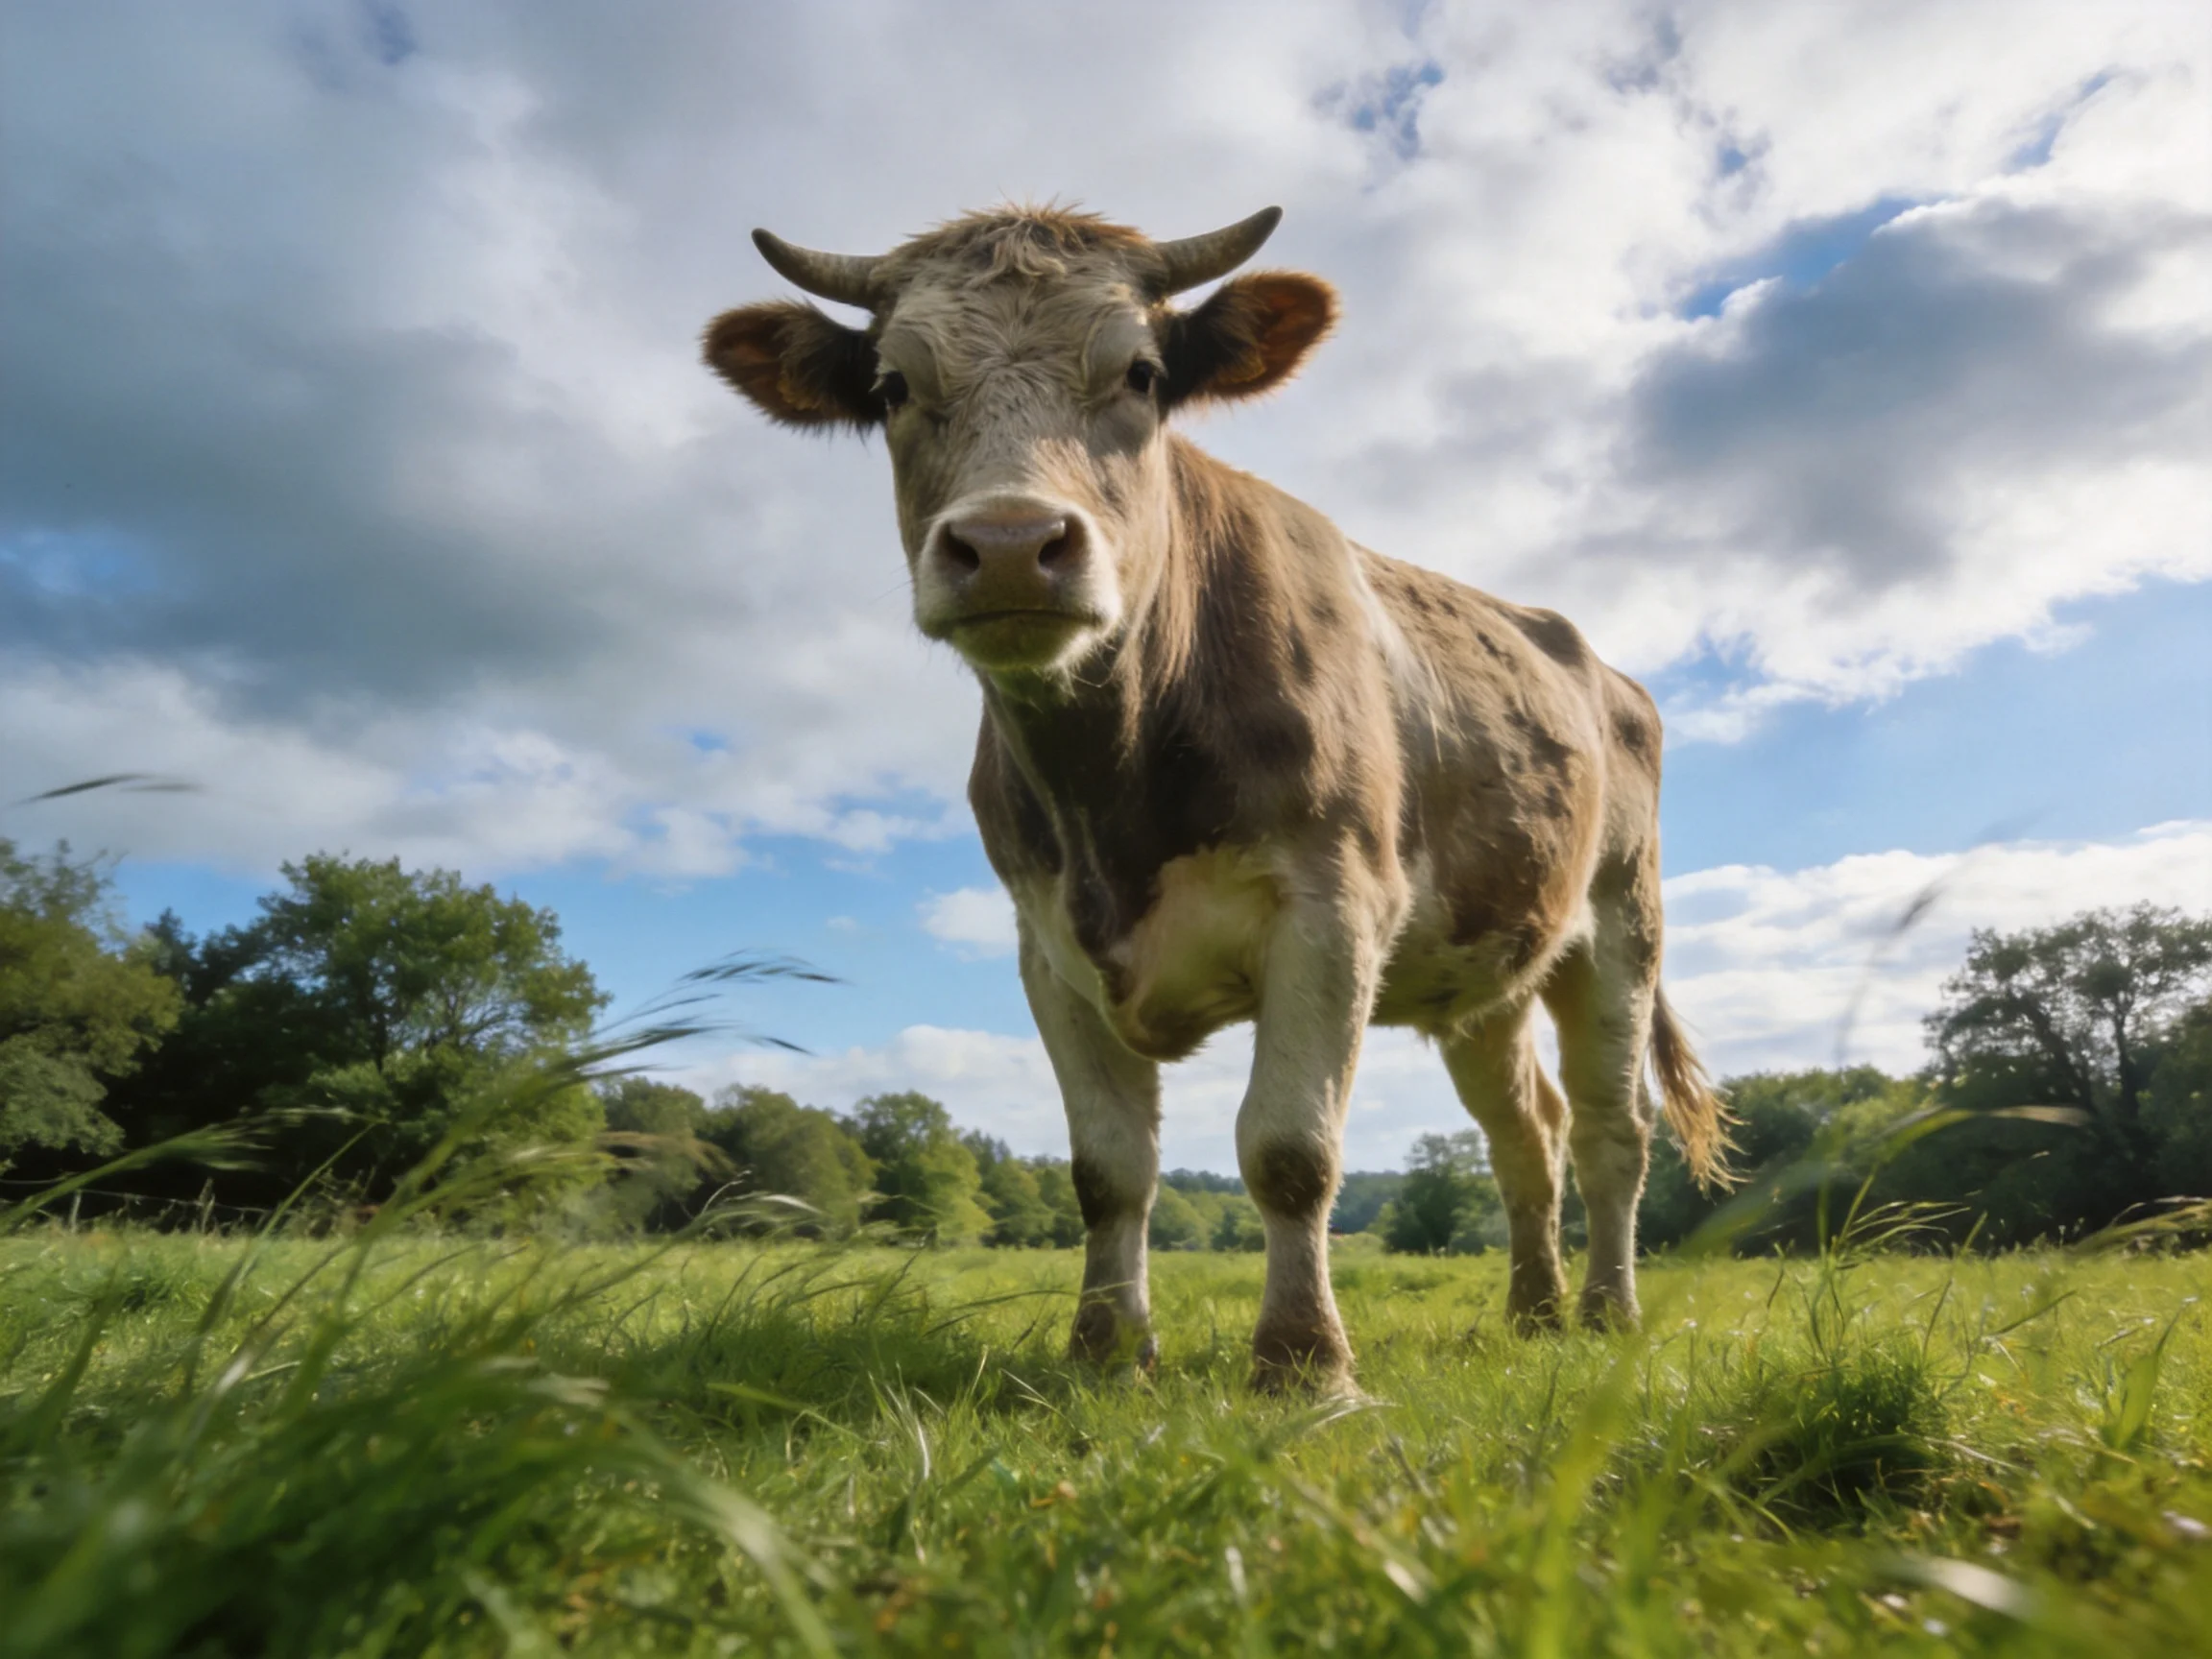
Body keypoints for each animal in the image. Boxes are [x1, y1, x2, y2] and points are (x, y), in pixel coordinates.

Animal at [703, 205, 1728, 1392]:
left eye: (1143, 375)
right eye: (893, 386)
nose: (1008, 544)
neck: (1112, 792)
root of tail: (1597, 661)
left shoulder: (1333, 910)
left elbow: (1289, 1150)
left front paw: (1304, 1365)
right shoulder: (1046, 946)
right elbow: (1108, 1169)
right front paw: (1107, 1354)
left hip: (1620, 929)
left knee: (1613, 1131)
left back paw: (1608, 1313)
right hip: (1487, 971)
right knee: (1528, 1134)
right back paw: (1533, 1314)